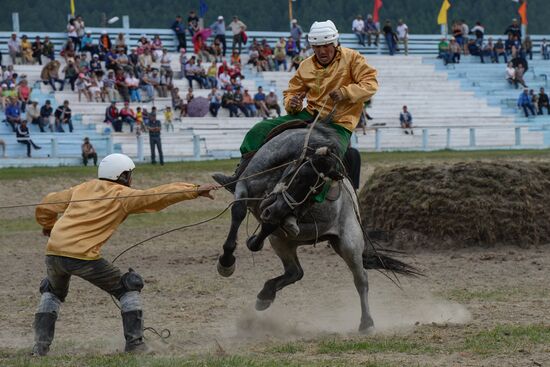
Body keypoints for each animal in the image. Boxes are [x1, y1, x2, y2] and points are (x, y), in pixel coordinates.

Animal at [218, 123, 416, 334]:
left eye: (316, 194)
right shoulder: (245, 186)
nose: (273, 211)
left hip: (349, 243)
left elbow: (264, 222)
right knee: (295, 271)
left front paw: (228, 260)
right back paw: (265, 295)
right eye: (298, 177)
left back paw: (367, 323)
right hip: (284, 241)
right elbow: (240, 212)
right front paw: (229, 259)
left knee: (361, 279)